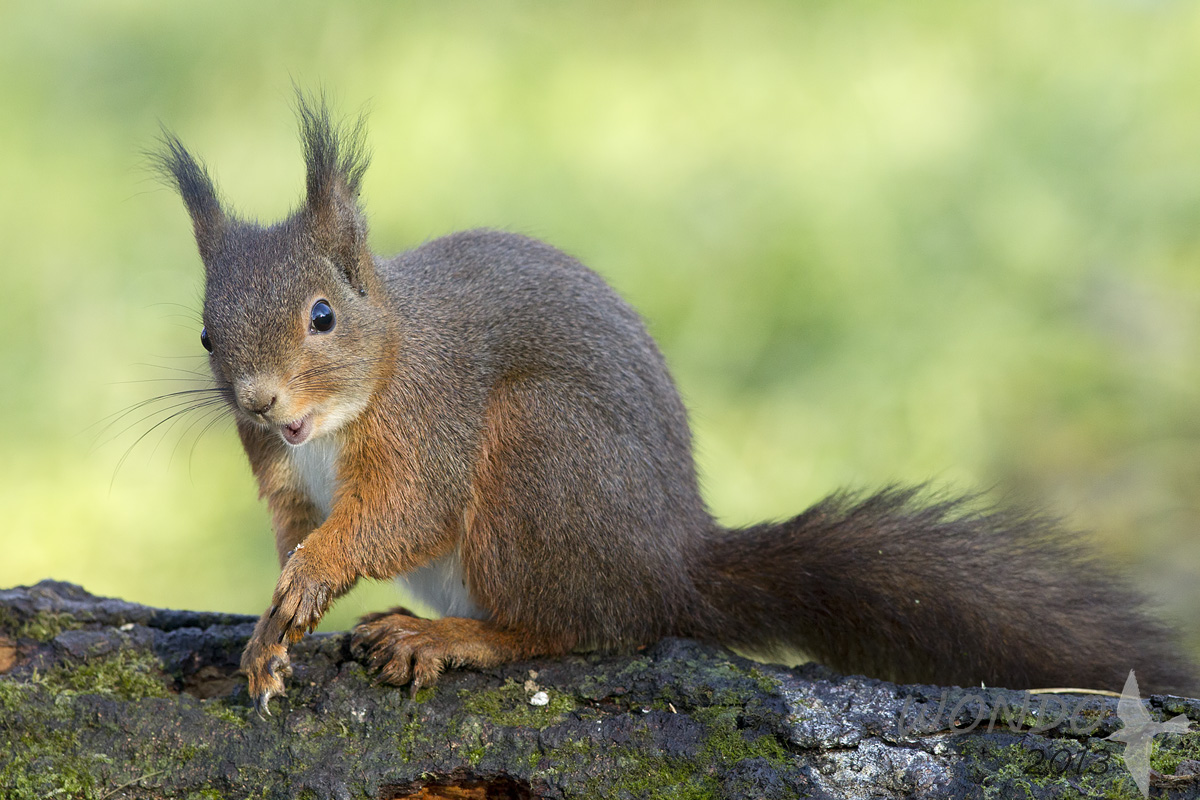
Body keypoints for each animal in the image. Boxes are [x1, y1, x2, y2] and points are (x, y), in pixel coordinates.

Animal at [154, 93, 1197, 714]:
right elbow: (296, 531)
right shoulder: (284, 470)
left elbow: (404, 513)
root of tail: (673, 563)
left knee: (577, 628)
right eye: (205, 335)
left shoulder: (435, 415)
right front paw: (270, 630)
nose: (261, 400)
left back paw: (451, 638)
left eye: (323, 316)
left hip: (540, 467)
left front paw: (313, 578)